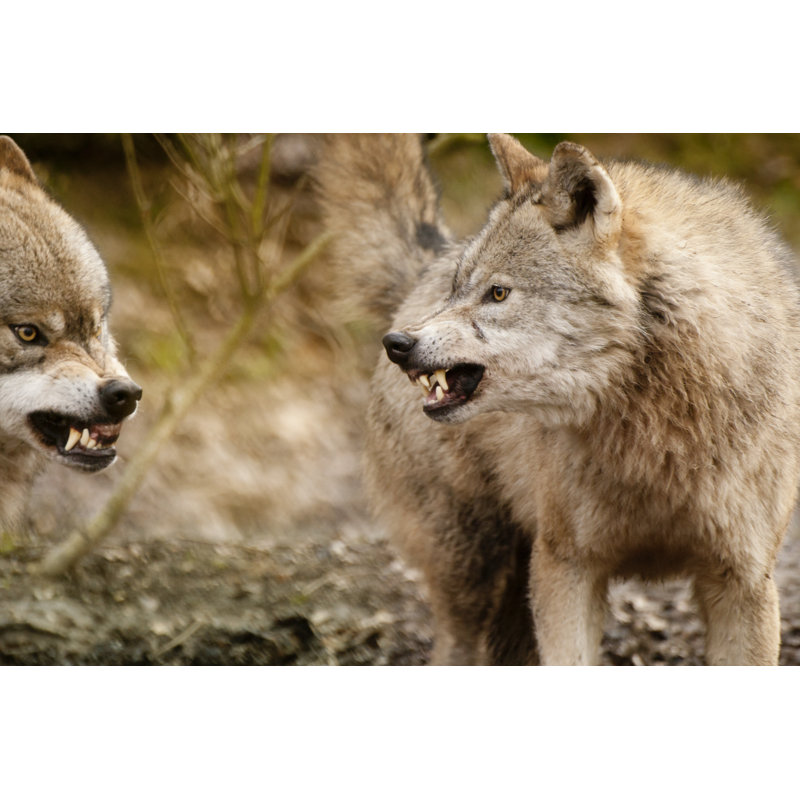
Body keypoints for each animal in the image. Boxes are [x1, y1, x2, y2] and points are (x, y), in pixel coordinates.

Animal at [316, 133, 800, 666]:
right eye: (459, 290)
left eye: (498, 293)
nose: (398, 343)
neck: (656, 436)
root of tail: (427, 265)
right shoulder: (565, 567)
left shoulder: (743, 580)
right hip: (474, 569)